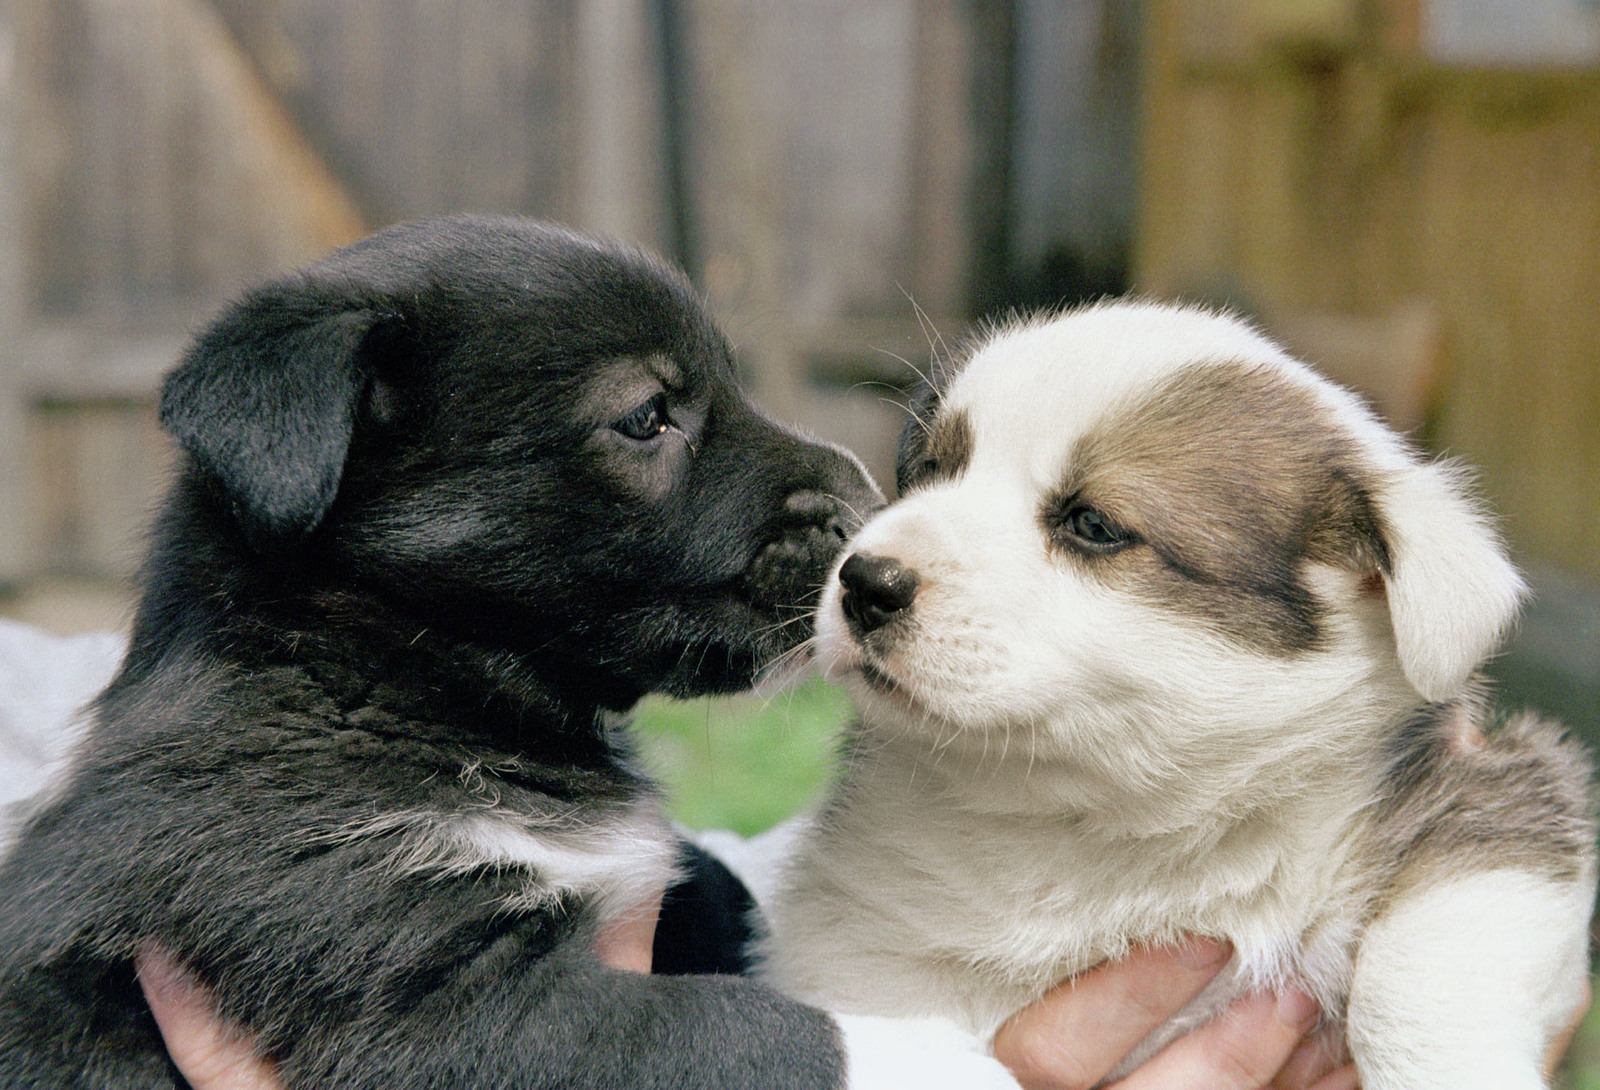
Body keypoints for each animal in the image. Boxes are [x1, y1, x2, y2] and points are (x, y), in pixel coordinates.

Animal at [0, 214, 876, 1088]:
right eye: (647, 415)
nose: (868, 508)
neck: (384, 669)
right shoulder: (415, 982)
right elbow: (751, 1031)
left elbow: (716, 891)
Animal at [758, 302, 1587, 1088]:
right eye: (933, 469)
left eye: (1093, 524)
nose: (865, 582)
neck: (1102, 824)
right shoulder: (854, 937)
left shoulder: (1504, 796)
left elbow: (1426, 961)